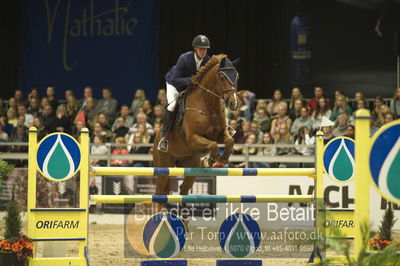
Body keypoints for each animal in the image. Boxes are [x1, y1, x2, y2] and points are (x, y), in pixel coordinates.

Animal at [152, 54, 241, 195]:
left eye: (237, 77)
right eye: (222, 78)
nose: (234, 104)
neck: (209, 107)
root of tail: (156, 138)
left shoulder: (220, 134)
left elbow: (229, 141)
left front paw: (221, 159)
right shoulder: (192, 139)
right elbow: (213, 145)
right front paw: (208, 161)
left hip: (190, 166)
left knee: (183, 189)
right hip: (163, 166)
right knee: (160, 190)